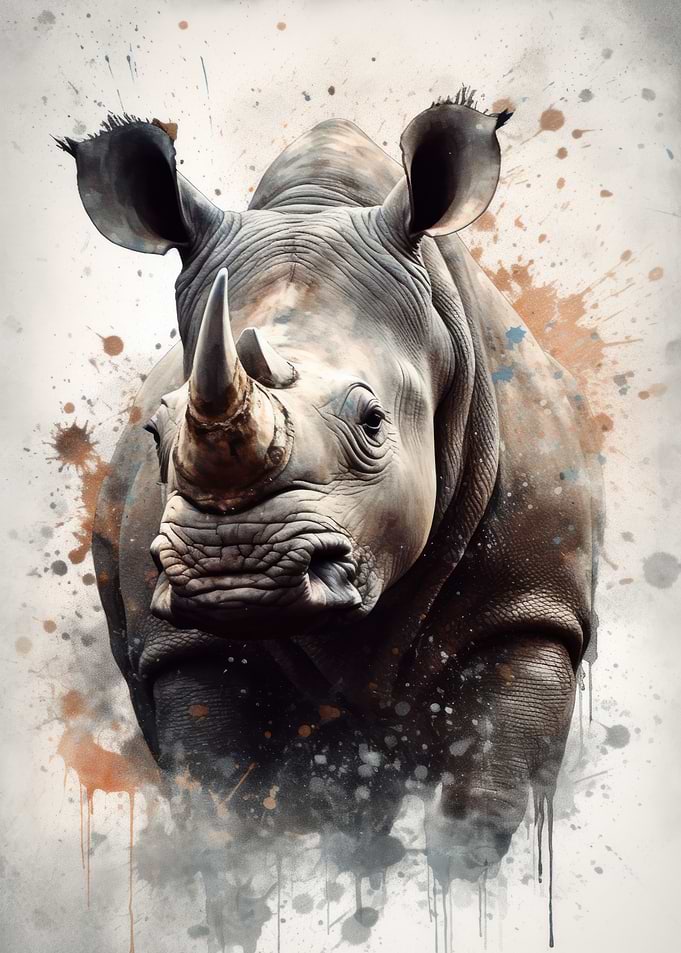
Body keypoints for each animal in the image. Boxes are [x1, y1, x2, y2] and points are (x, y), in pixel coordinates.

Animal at [58, 89, 601, 878]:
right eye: (157, 433)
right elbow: (222, 816)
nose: (234, 572)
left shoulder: (533, 608)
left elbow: (485, 812)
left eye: (373, 421)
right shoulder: (185, 646)